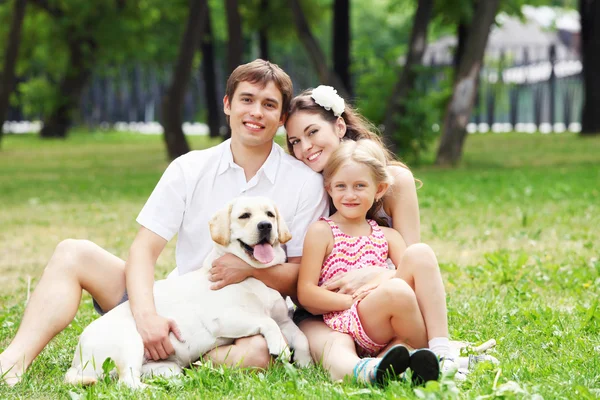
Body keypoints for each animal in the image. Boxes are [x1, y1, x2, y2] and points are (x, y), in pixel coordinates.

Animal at [65, 197, 312, 388]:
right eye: (244, 216)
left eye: (270, 214)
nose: (265, 225)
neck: (255, 275)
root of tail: (77, 361)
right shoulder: (225, 319)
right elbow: (266, 321)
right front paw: (280, 346)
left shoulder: (284, 321)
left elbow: (302, 338)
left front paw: (306, 363)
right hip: (130, 342)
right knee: (127, 384)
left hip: (164, 367)